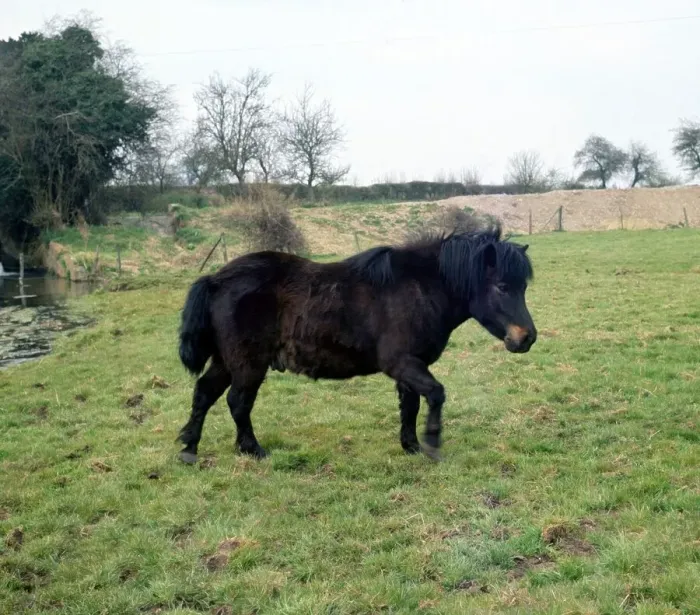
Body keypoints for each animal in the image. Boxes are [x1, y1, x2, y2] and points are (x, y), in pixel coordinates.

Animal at [176, 221, 536, 464]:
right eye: (502, 286)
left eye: (523, 286)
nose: (526, 338)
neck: (418, 288)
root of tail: (216, 279)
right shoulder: (401, 362)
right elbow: (435, 394)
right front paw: (432, 443)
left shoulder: (411, 366)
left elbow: (411, 405)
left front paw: (411, 446)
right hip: (248, 363)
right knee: (238, 402)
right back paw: (252, 449)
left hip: (227, 361)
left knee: (205, 393)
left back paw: (189, 448)